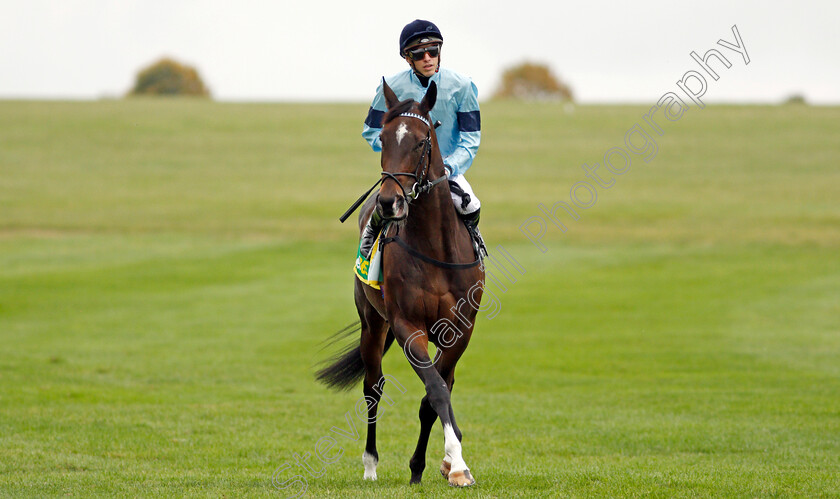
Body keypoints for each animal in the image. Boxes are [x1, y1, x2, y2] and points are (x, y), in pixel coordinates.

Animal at [316, 79, 486, 488]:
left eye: (422, 141)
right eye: (383, 138)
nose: (389, 201)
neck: (436, 247)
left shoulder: (460, 330)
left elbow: (434, 396)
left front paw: (443, 464)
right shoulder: (408, 325)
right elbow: (435, 390)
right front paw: (455, 462)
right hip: (372, 322)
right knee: (372, 388)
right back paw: (370, 464)